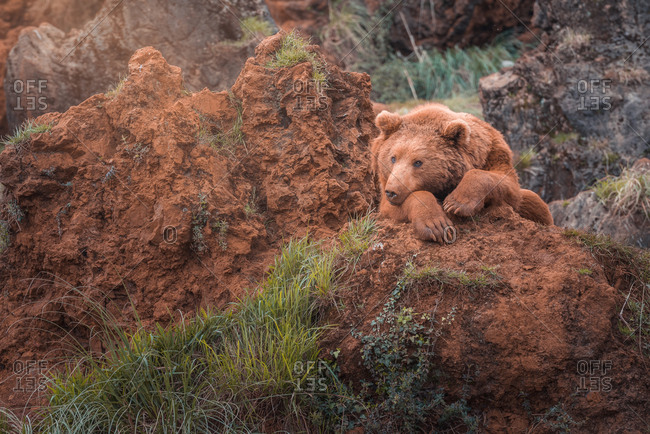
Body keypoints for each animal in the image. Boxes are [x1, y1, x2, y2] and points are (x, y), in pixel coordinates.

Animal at [371, 103, 553, 242]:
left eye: (418, 162)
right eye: (393, 158)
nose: (392, 191)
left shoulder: (494, 153)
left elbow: (506, 183)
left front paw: (456, 203)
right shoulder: (385, 189)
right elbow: (394, 207)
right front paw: (436, 226)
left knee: (534, 201)